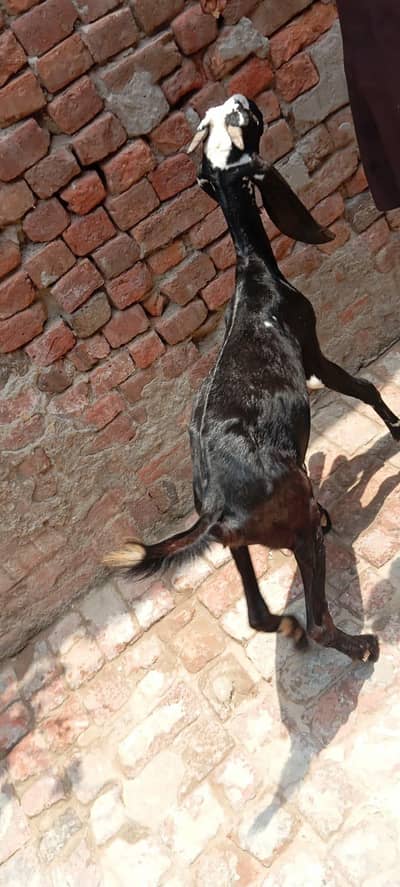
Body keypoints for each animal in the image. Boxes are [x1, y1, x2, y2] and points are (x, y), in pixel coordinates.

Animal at [105, 95, 400, 663]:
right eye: (240, 122)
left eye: (223, 119)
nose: (242, 99)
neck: (253, 274)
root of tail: (217, 505)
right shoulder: (311, 351)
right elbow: (363, 387)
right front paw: (398, 432)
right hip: (295, 522)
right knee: (319, 618)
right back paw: (357, 644)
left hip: (237, 544)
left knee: (259, 614)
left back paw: (287, 626)